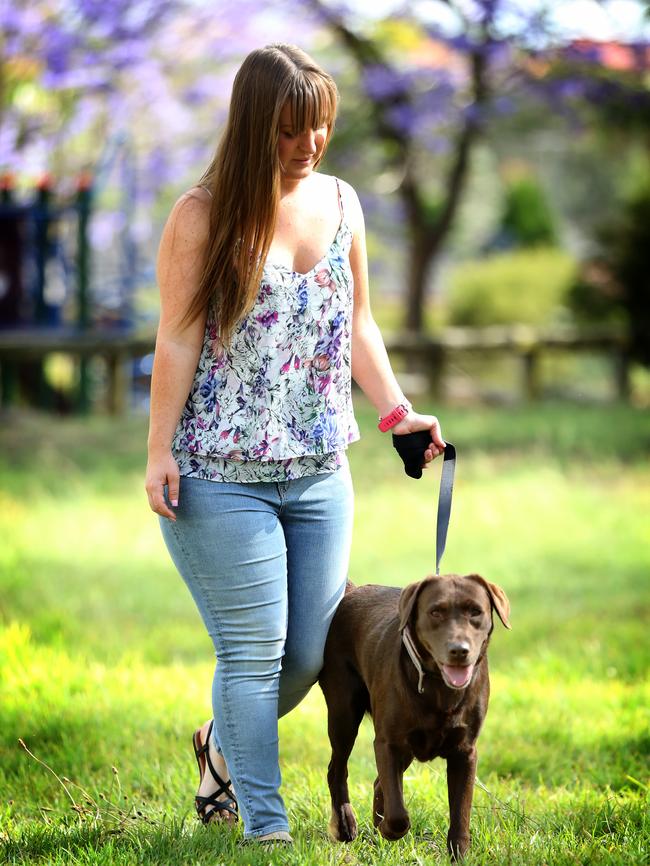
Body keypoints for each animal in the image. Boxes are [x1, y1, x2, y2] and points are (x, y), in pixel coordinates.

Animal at [318, 572, 512, 856]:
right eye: (436, 612)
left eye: (476, 612)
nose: (459, 650)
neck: (439, 687)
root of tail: (353, 591)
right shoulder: (387, 743)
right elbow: (398, 815)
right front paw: (388, 829)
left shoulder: (465, 752)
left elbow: (461, 814)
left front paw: (459, 854)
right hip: (344, 713)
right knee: (337, 769)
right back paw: (346, 824)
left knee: (379, 783)